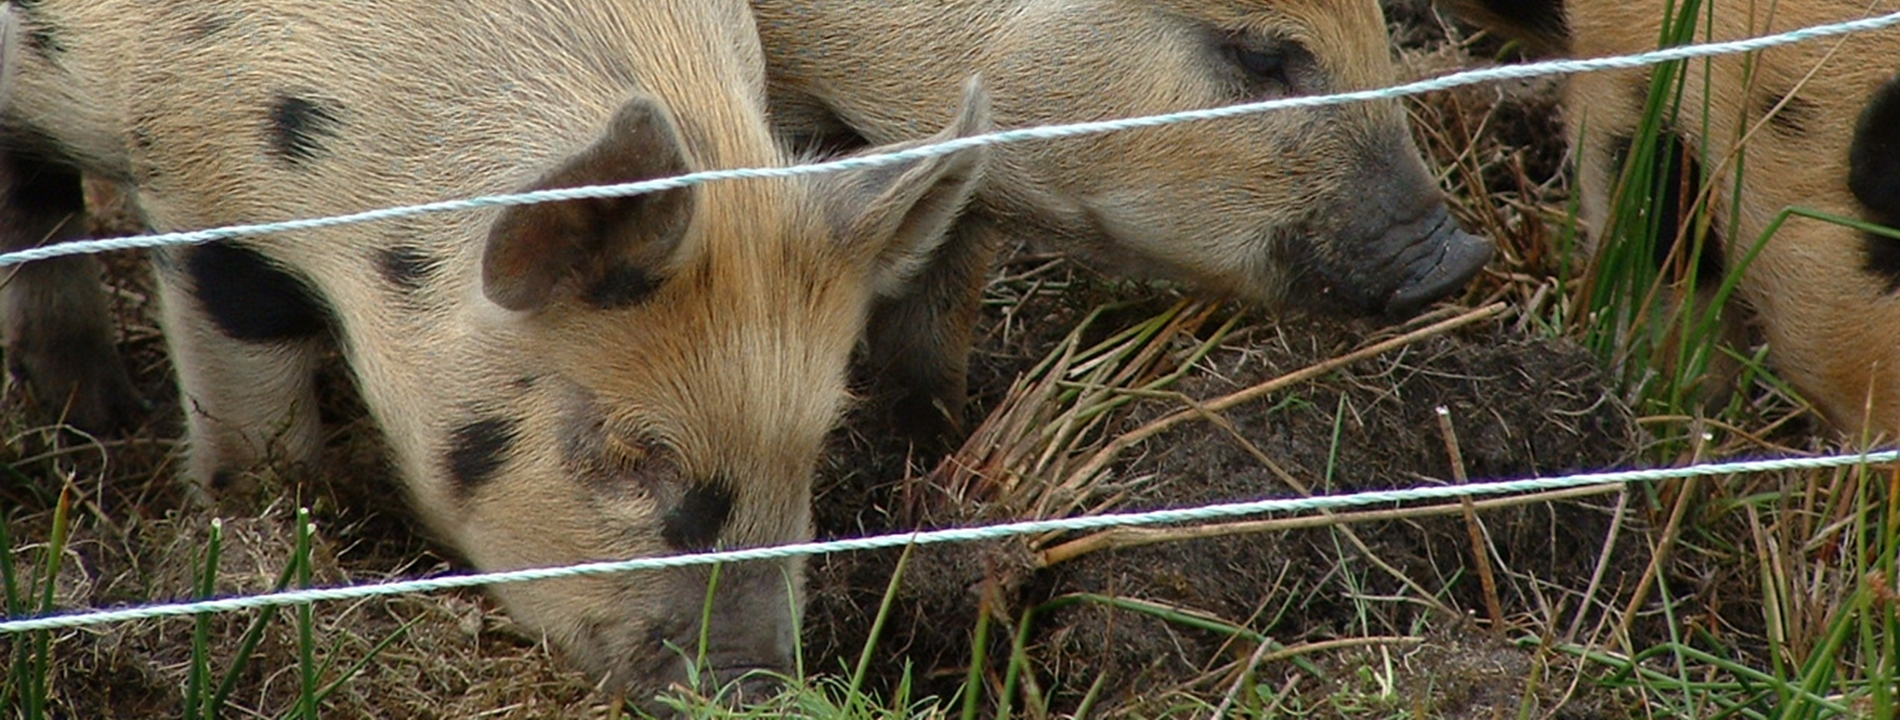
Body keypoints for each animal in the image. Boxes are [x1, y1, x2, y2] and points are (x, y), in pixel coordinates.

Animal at [0, 0, 987, 701]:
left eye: (816, 443)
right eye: (629, 449)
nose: (755, 690)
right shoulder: (204, 189)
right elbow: (248, 408)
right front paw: (264, 520)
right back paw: (101, 413)